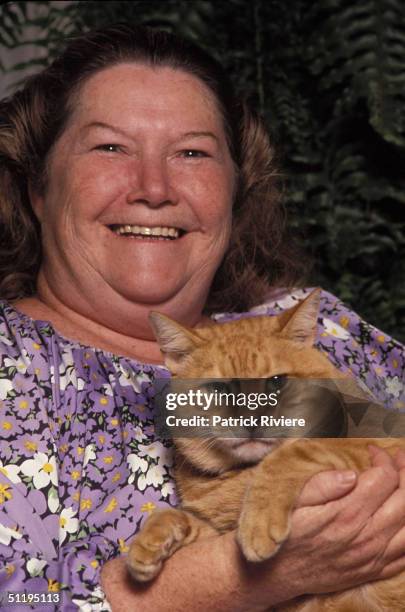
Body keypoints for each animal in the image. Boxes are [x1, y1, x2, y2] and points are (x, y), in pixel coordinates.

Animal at [126, 290, 404, 608]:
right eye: (219, 389)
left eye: (277, 381)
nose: (251, 419)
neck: (236, 476)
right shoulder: (216, 534)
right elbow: (175, 517)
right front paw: (148, 543)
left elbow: (293, 454)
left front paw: (257, 525)